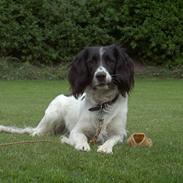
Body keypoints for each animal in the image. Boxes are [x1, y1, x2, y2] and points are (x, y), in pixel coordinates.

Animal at [0, 44, 134, 153]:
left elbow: (112, 139)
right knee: (36, 132)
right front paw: (82, 145)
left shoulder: (120, 133)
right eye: (91, 62)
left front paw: (105, 147)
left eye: (110, 61)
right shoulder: (76, 130)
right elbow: (81, 137)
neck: (101, 104)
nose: (100, 75)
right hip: (52, 115)